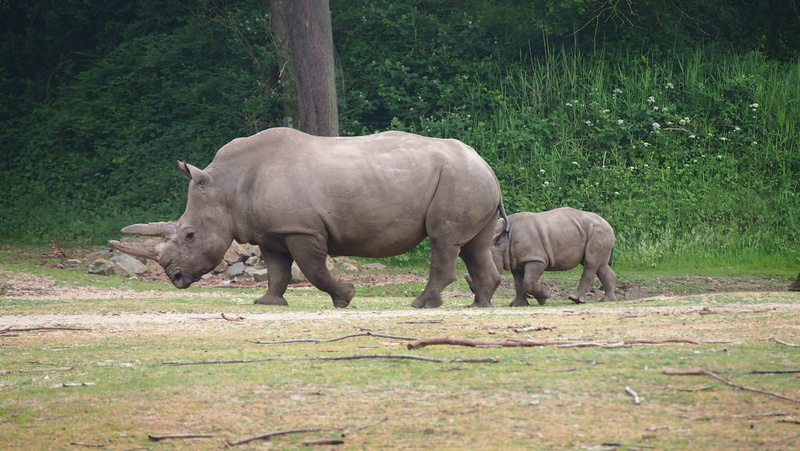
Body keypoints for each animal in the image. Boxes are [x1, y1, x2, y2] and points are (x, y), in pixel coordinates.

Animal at [110, 127, 508, 309]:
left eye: (190, 235)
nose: (176, 279)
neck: (227, 187)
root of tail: (485, 162)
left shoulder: (300, 229)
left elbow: (313, 269)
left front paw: (345, 297)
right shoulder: (271, 232)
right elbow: (277, 270)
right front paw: (268, 303)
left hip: (459, 179)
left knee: (444, 240)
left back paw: (422, 304)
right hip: (469, 179)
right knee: (474, 245)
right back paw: (480, 304)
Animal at [467, 207, 617, 306]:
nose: (475, 291)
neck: (502, 241)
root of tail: (608, 224)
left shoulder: (535, 258)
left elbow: (529, 282)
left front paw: (545, 297)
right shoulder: (515, 260)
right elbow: (519, 283)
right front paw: (517, 304)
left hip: (599, 231)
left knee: (590, 263)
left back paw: (575, 299)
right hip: (597, 232)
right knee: (601, 265)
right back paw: (608, 299)